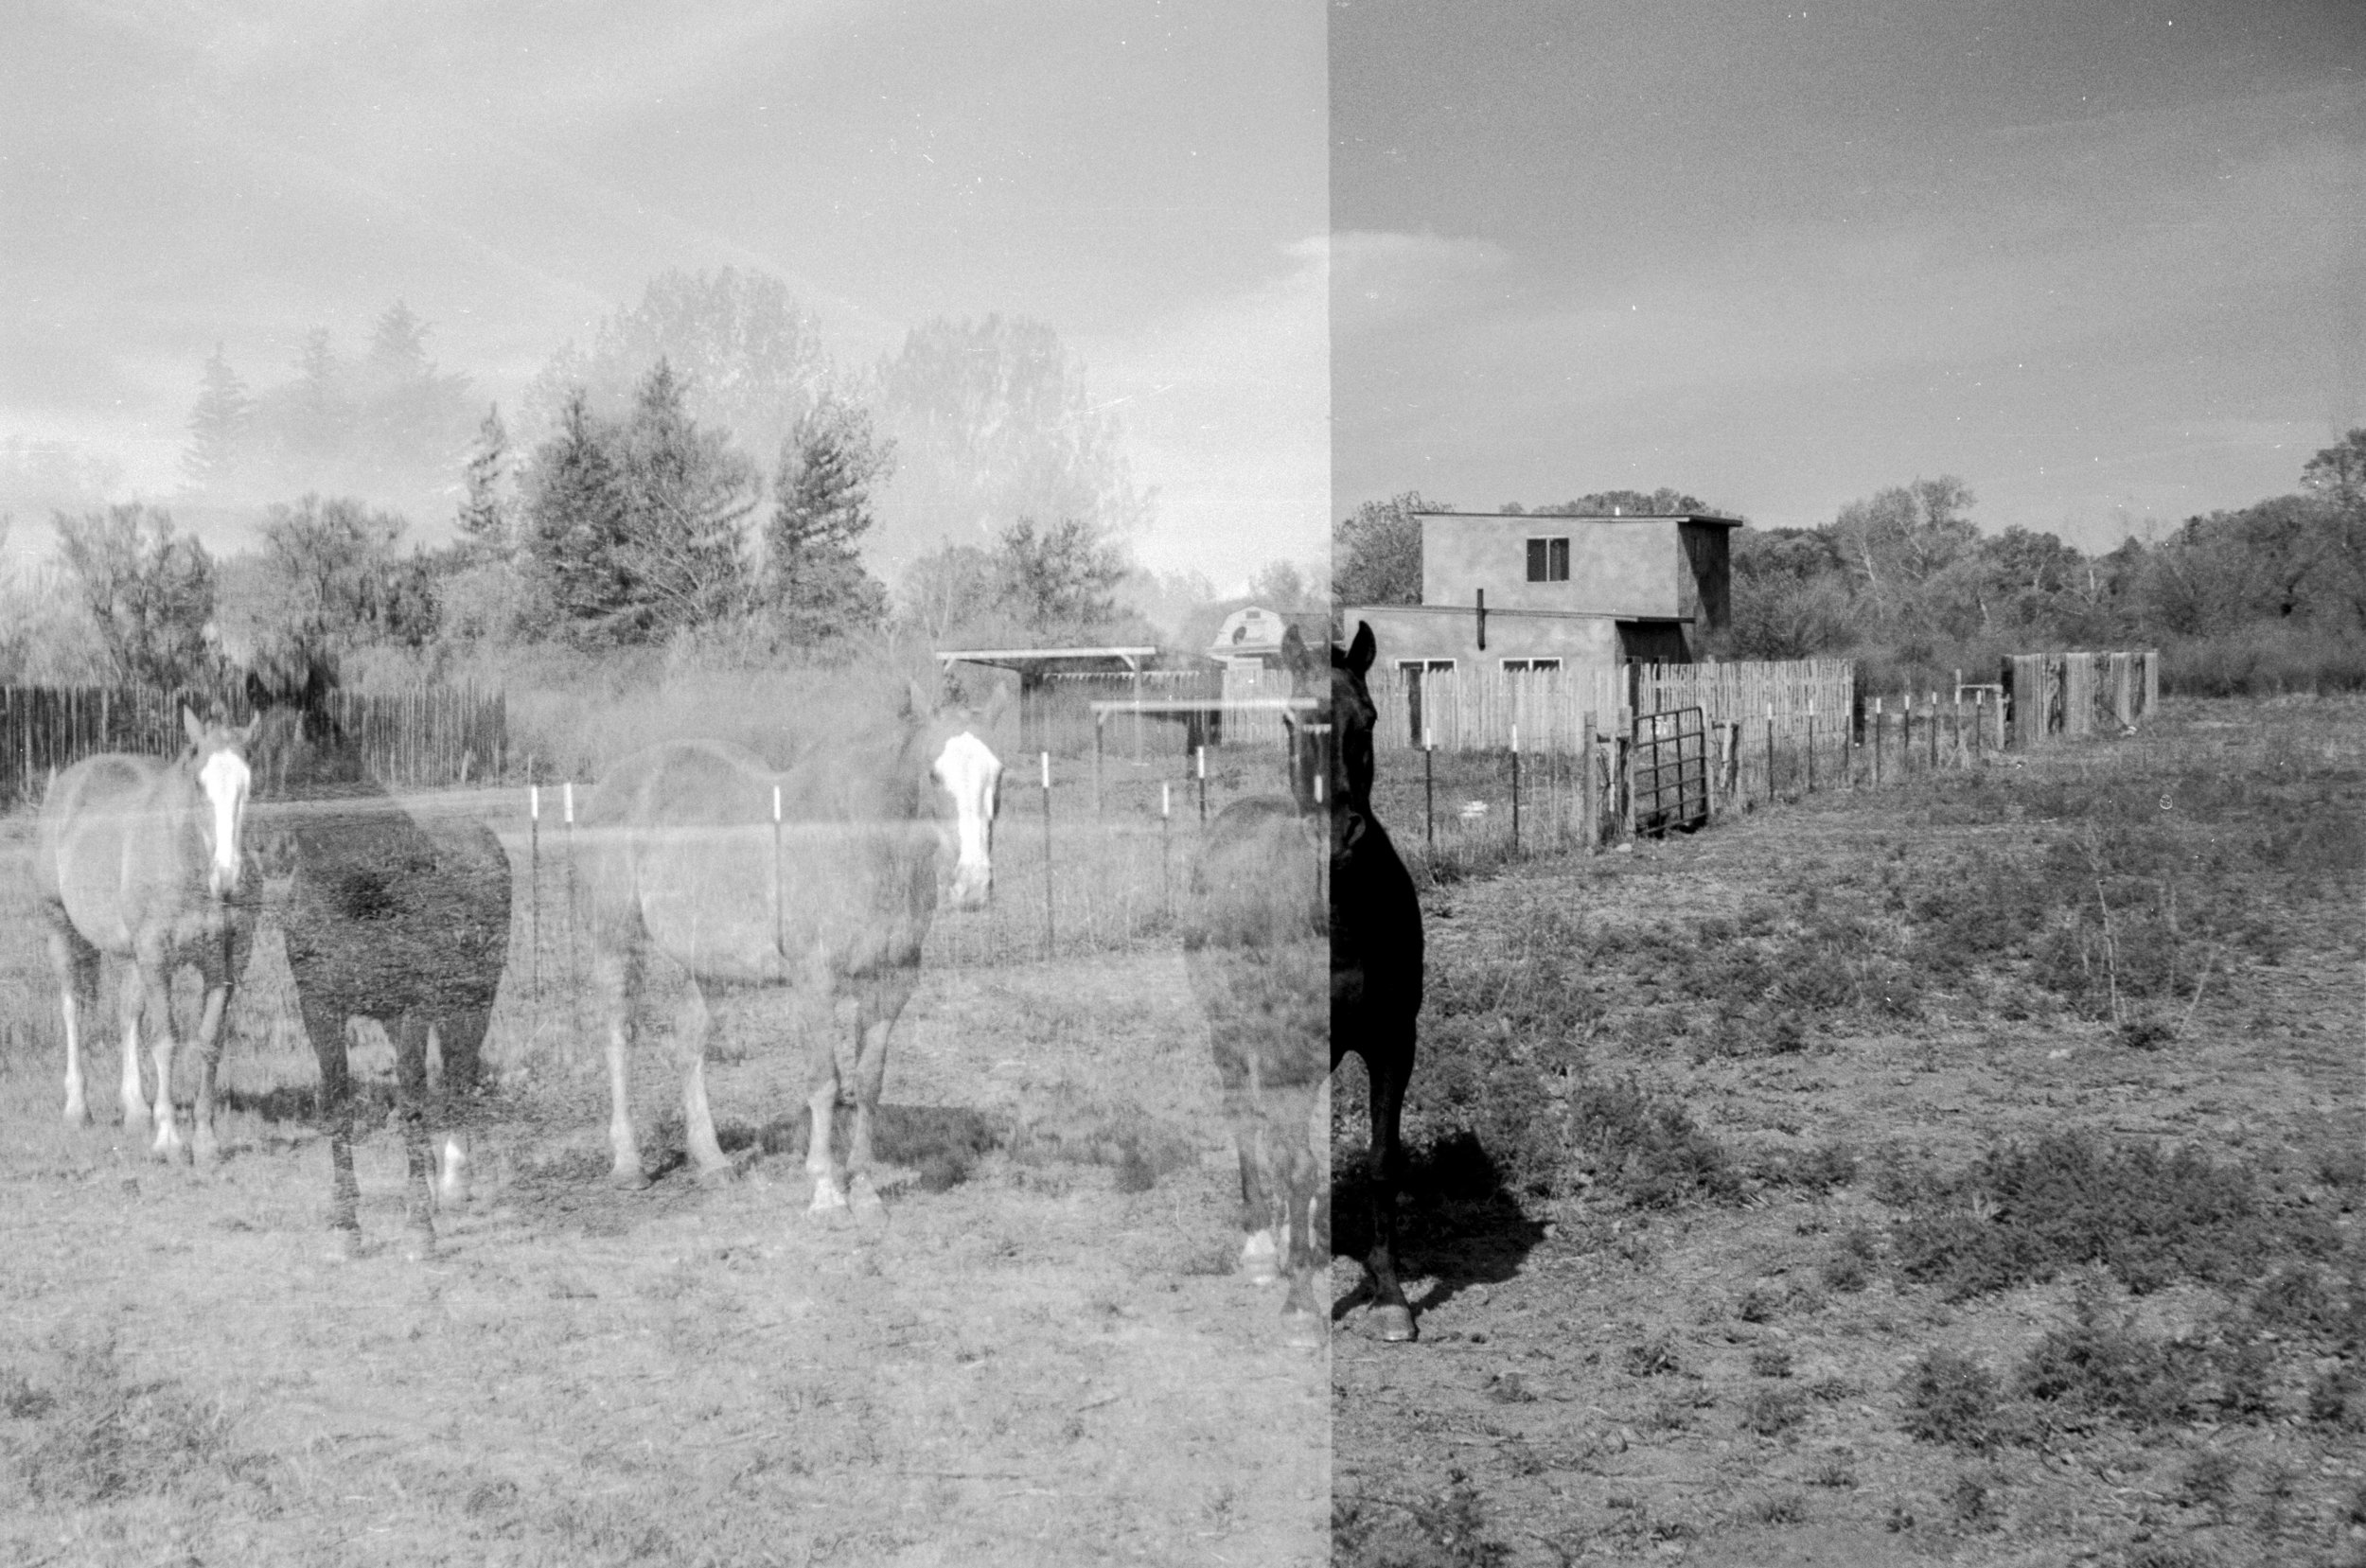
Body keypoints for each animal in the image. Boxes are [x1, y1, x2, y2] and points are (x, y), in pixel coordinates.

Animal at [244, 661, 513, 1267]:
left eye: (305, 746)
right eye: (247, 752)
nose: (267, 847)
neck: (360, 888)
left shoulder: (409, 1010)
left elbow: (412, 1104)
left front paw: (420, 1230)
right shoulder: (321, 1012)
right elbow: (338, 1107)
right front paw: (348, 1228)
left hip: (473, 999)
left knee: (460, 1077)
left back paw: (459, 1185)